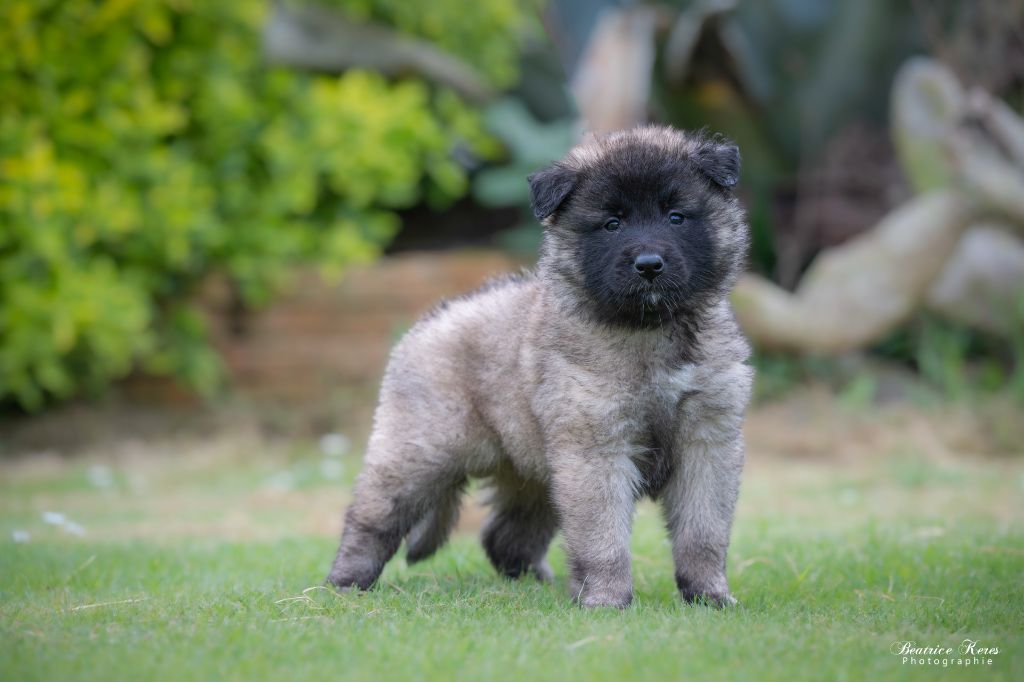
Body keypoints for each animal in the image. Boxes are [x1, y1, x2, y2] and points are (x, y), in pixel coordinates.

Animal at [327, 125, 753, 608]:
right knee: (371, 517)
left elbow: (704, 533)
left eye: (677, 217)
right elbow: (603, 536)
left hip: (534, 470)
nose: (649, 265)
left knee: (505, 535)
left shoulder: (708, 442)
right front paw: (606, 600)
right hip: (418, 451)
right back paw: (346, 582)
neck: (650, 328)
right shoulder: (595, 448)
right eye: (612, 223)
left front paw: (710, 597)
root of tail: (429, 321)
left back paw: (536, 585)